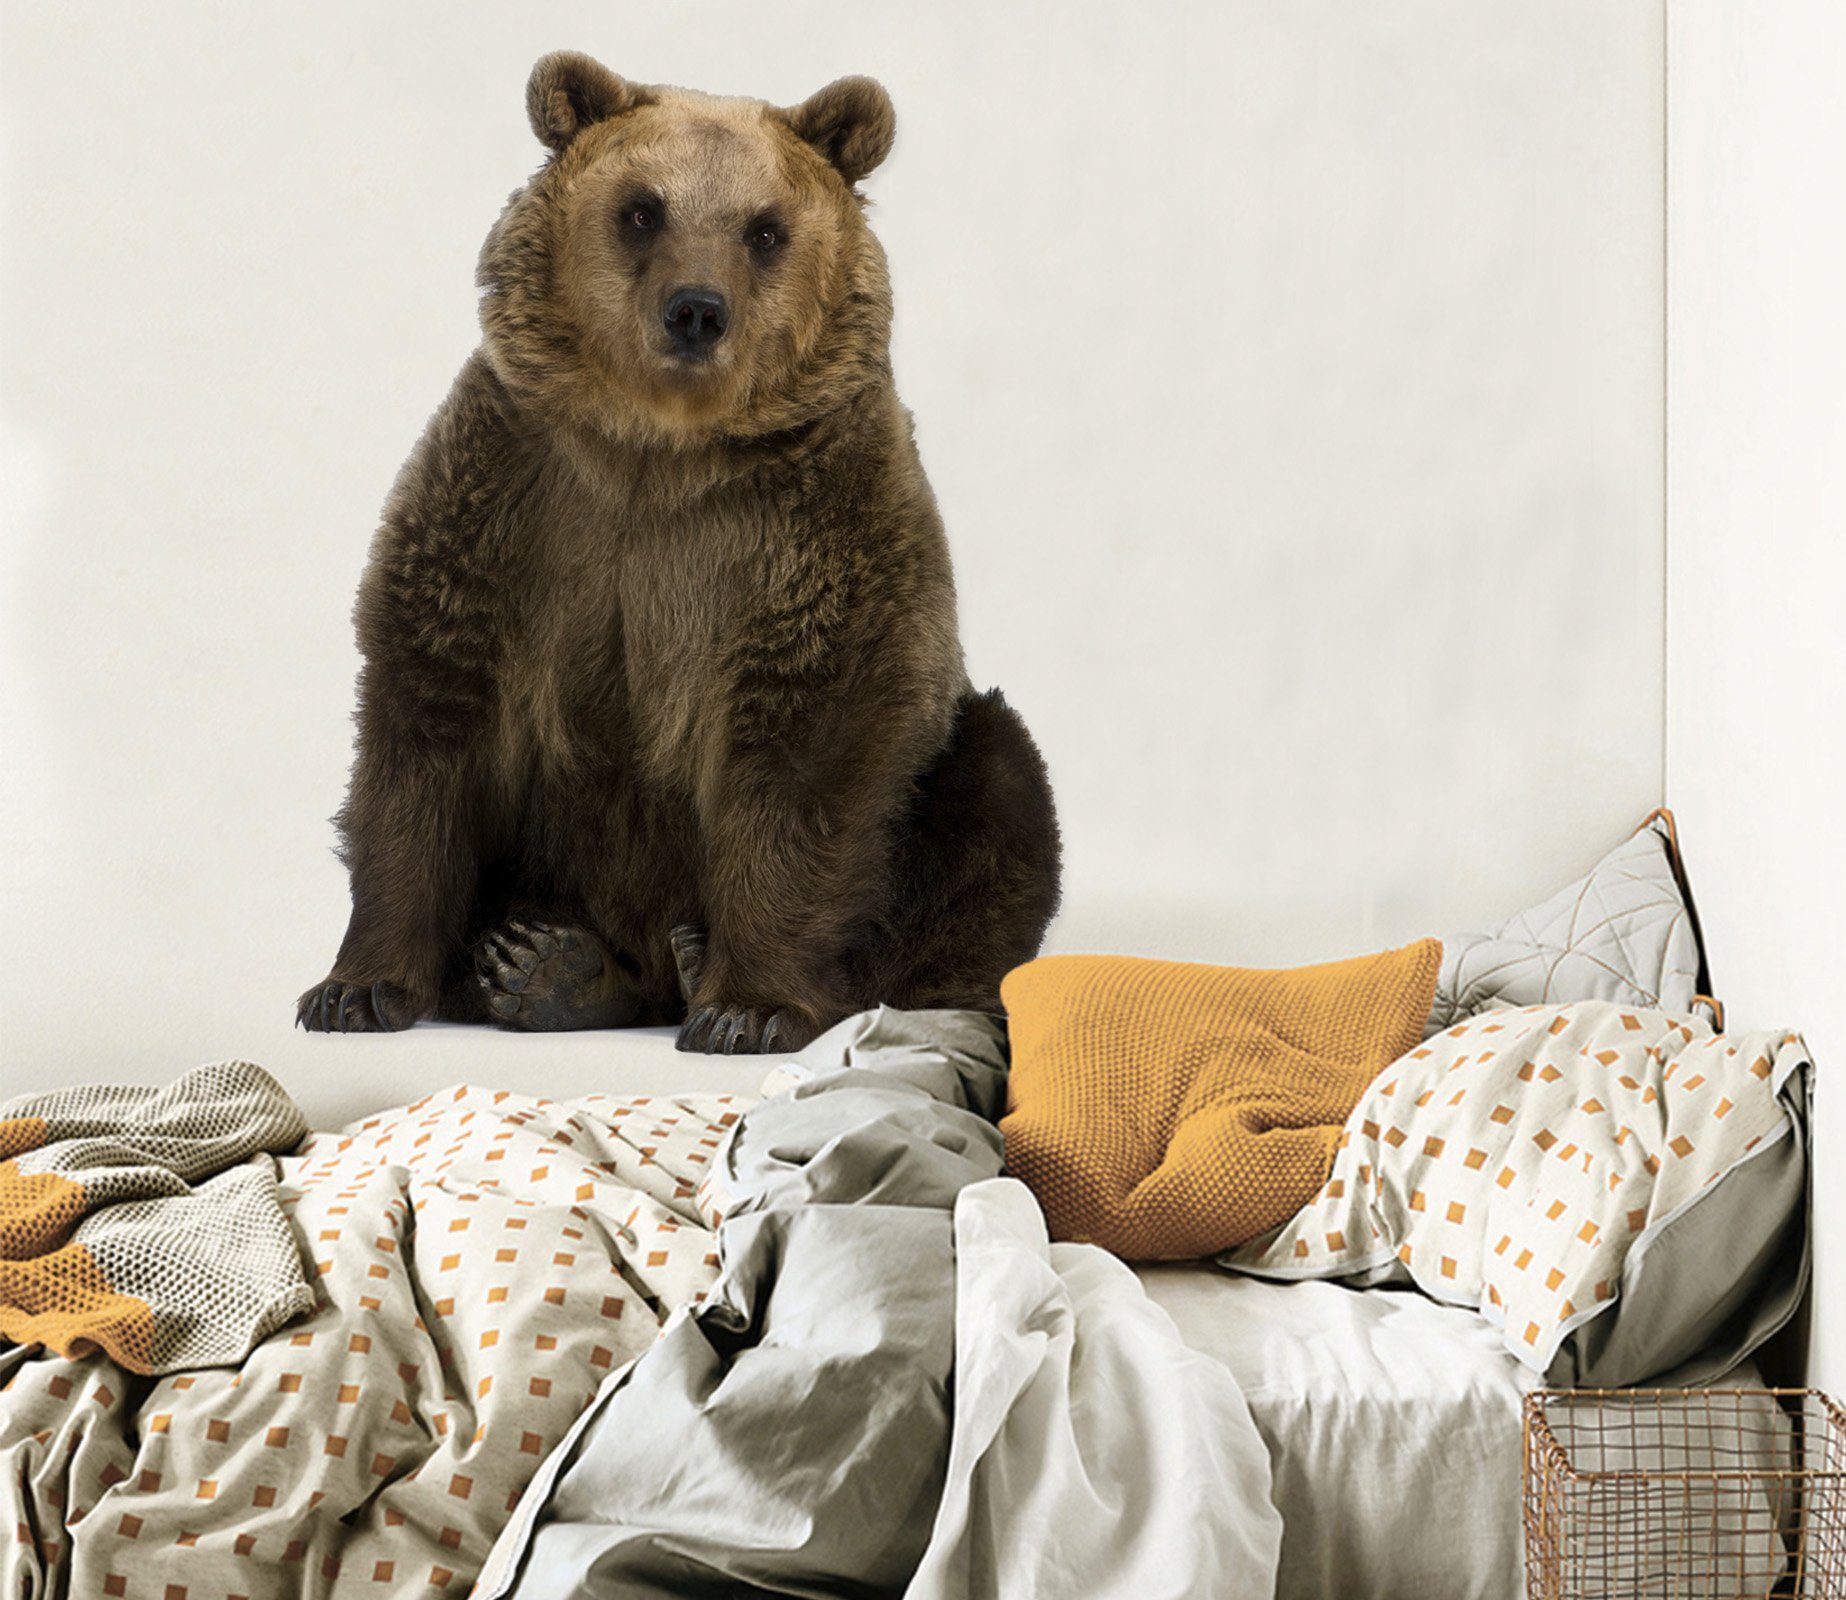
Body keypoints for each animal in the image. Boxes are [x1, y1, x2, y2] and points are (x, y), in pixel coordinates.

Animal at [296, 52, 1061, 1054]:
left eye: (765, 228)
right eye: (642, 209)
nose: (696, 310)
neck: (658, 448)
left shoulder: (811, 532)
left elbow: (809, 747)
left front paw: (749, 1005)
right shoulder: (513, 503)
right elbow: (427, 724)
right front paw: (356, 989)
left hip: (947, 780)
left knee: (998, 797)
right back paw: (547, 965)